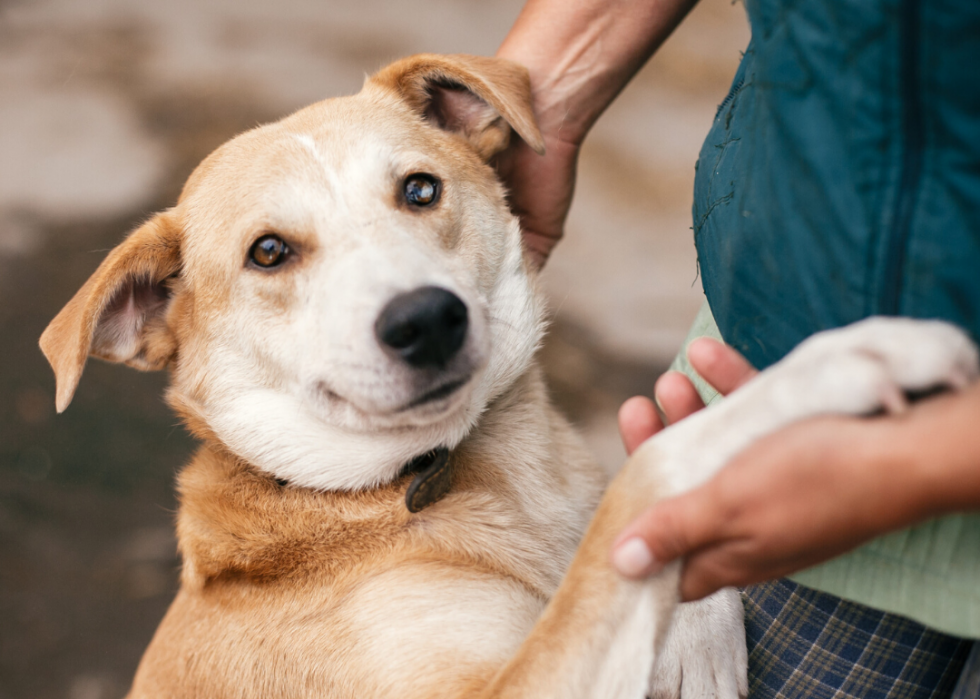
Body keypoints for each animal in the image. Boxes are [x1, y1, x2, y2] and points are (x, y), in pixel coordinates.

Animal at [40, 52, 980, 696]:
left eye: (420, 190)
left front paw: (693, 628)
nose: (425, 319)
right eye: (268, 252)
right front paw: (836, 365)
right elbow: (648, 473)